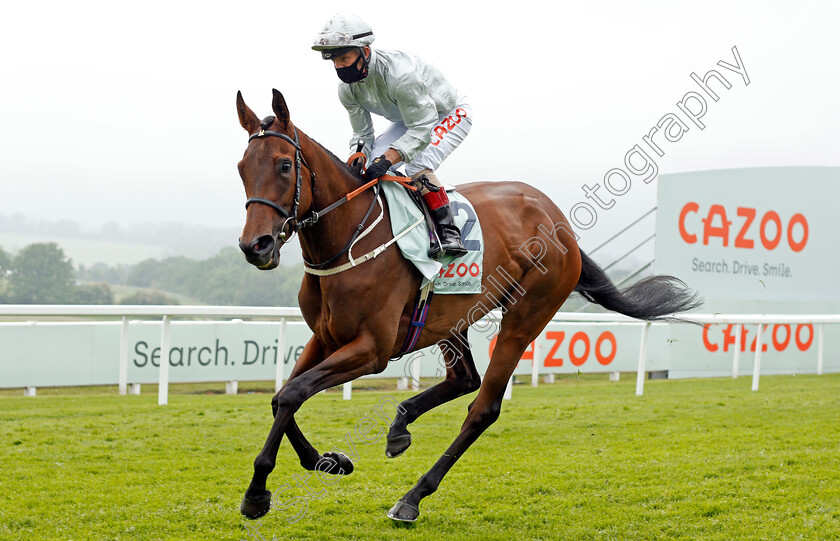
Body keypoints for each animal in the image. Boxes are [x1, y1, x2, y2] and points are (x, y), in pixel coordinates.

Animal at [233, 89, 700, 524]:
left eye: (284, 166)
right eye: (241, 168)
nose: (256, 246)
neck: (348, 238)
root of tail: (562, 225)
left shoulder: (372, 350)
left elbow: (294, 392)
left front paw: (258, 492)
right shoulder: (326, 337)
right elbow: (282, 396)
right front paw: (327, 461)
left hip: (525, 316)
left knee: (483, 407)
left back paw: (412, 497)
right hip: (450, 318)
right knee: (464, 379)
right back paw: (400, 427)